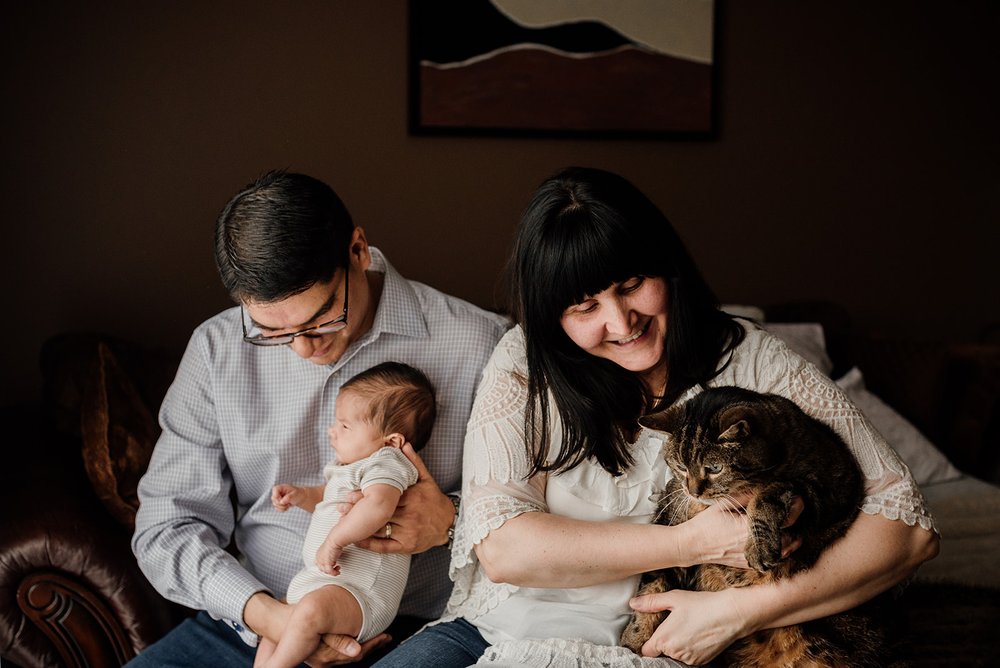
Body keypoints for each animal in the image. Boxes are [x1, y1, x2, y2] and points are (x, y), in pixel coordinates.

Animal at [616, 386, 892, 668]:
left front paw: (759, 546)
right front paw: (633, 640)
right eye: (681, 467)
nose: (693, 491)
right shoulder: (671, 525)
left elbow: (770, 490)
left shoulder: (832, 487)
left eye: (714, 468)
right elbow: (652, 587)